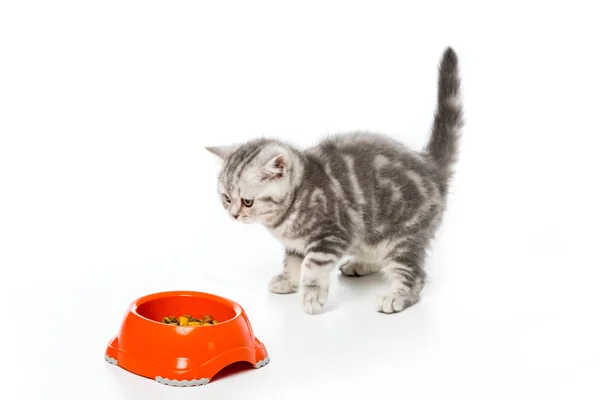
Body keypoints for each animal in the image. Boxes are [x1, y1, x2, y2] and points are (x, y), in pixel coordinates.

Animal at [206, 47, 464, 316]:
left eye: (247, 201)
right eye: (226, 198)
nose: (234, 215)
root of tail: (430, 164)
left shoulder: (330, 235)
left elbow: (312, 265)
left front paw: (312, 296)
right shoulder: (297, 243)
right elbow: (292, 260)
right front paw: (288, 280)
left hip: (404, 235)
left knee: (415, 274)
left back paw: (397, 296)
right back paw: (361, 264)